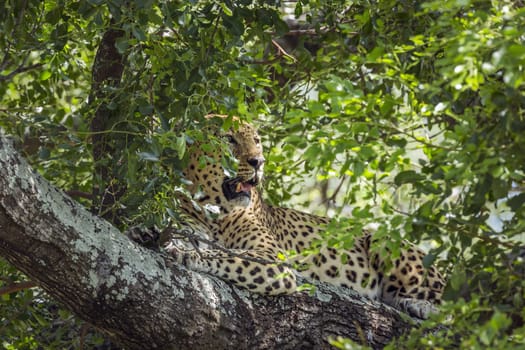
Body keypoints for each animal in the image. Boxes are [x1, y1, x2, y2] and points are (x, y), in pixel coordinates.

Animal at [166, 118, 444, 320]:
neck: (214, 213)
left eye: (257, 141)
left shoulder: (273, 260)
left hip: (383, 239)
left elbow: (226, 254)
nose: (259, 162)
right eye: (228, 138)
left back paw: (420, 306)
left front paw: (186, 254)